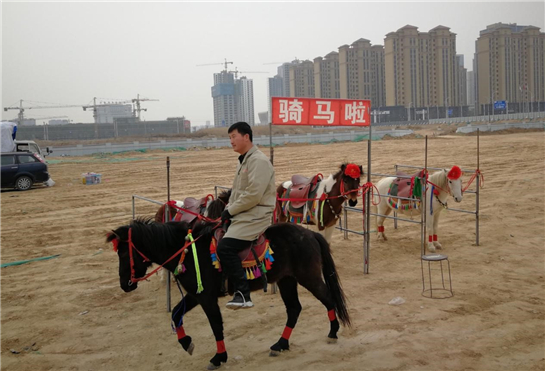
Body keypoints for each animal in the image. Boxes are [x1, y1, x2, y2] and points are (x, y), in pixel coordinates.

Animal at [107, 199, 348, 370]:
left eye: (123, 253)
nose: (125, 285)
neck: (187, 251)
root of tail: (311, 234)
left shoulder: (206, 297)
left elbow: (216, 325)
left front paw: (219, 357)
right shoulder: (195, 294)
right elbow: (176, 314)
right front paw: (187, 343)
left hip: (308, 277)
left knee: (327, 299)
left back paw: (333, 332)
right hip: (286, 280)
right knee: (294, 309)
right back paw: (280, 344)